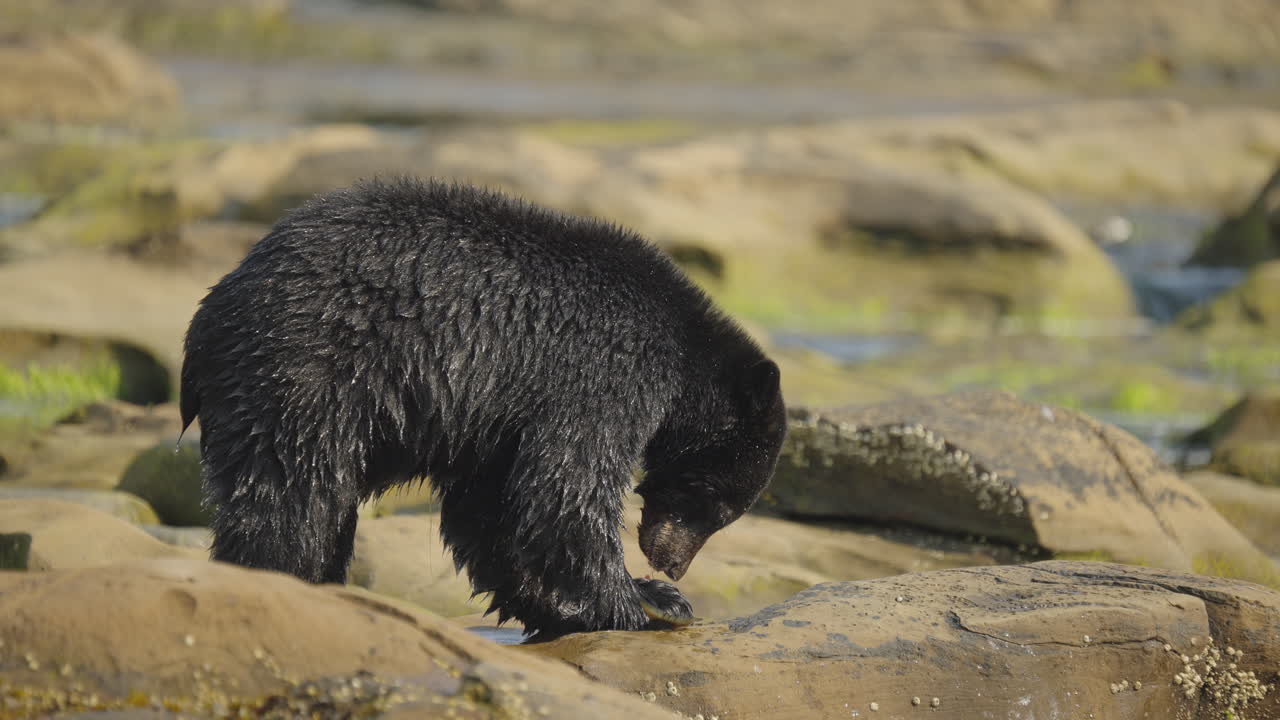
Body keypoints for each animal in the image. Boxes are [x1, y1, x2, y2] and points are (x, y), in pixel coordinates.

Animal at [180, 177, 786, 639]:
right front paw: (641, 602)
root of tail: (207, 318)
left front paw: (576, 606)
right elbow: (566, 489)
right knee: (293, 491)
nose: (672, 564)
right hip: (305, 371)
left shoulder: (498, 415)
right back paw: (279, 579)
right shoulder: (601, 371)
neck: (682, 353)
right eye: (715, 504)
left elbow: (490, 507)